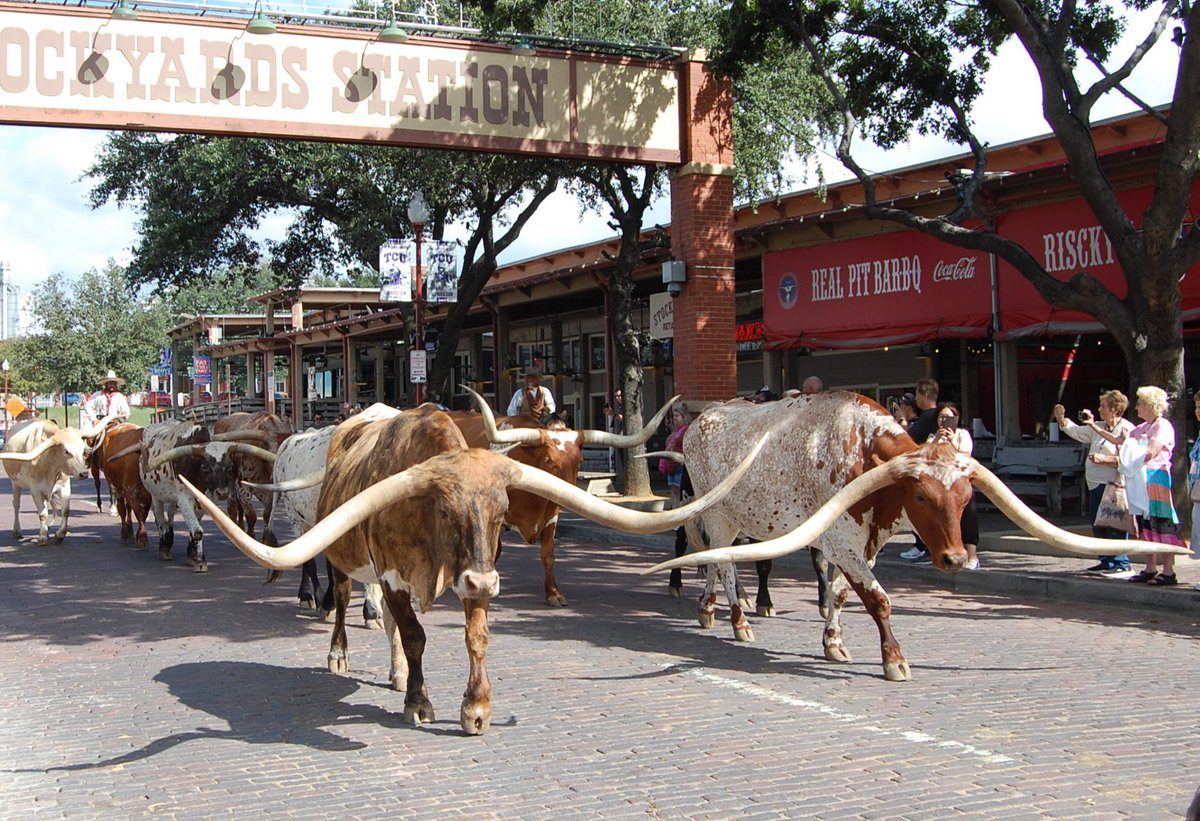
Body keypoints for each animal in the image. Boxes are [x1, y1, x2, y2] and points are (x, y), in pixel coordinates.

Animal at [447, 386, 674, 607]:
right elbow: (494, 551)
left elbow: (548, 554)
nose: (569, 495)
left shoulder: (551, 515)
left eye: (580, 460)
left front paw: (553, 594)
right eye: (549, 460)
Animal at [644, 391, 1186, 681]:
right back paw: (737, 620)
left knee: (715, 562)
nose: (954, 559)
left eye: (966, 498)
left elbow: (841, 594)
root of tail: (703, 417)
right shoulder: (842, 541)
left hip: (733, 518)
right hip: (716, 510)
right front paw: (895, 660)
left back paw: (709, 610)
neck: (861, 452)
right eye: (921, 497)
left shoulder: (860, 543)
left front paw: (834, 641)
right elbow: (878, 600)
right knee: (722, 563)